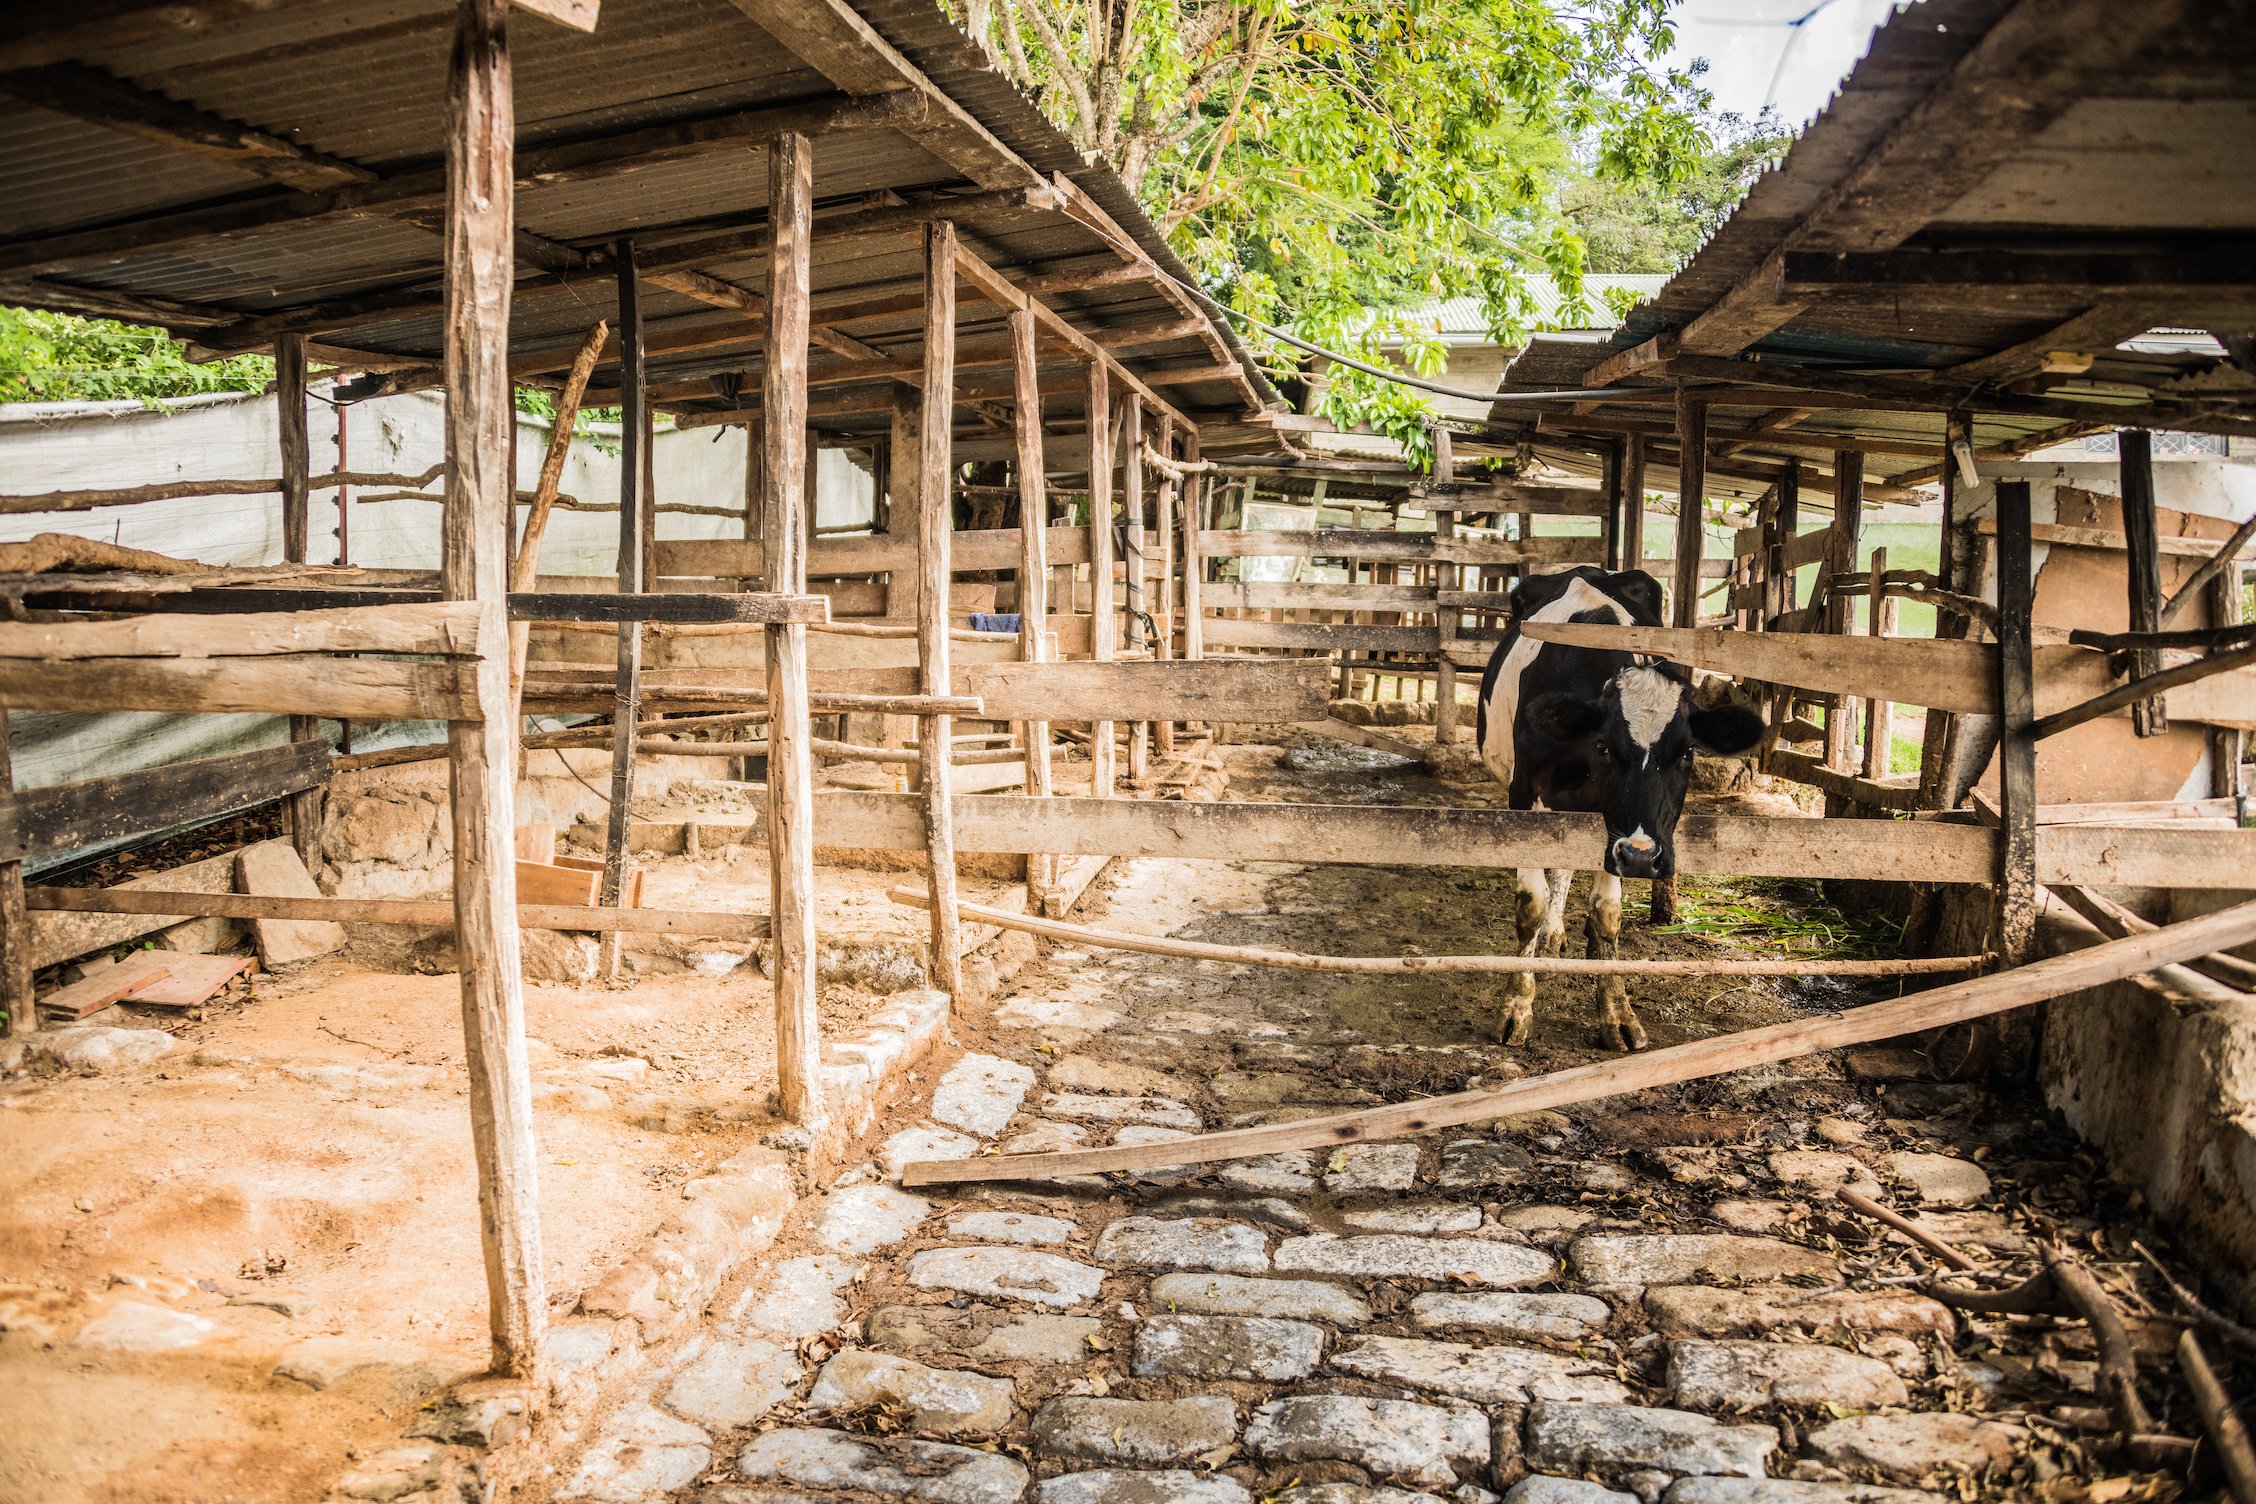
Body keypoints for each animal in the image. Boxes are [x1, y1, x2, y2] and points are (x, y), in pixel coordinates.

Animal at [1470, 570, 1768, 1055]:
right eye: (1606, 746)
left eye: (1687, 753)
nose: (1644, 856)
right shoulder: (1524, 793)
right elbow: (1531, 904)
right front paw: (1516, 1006)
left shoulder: (1614, 831)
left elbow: (1606, 914)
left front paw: (1617, 1011)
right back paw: (1550, 934)